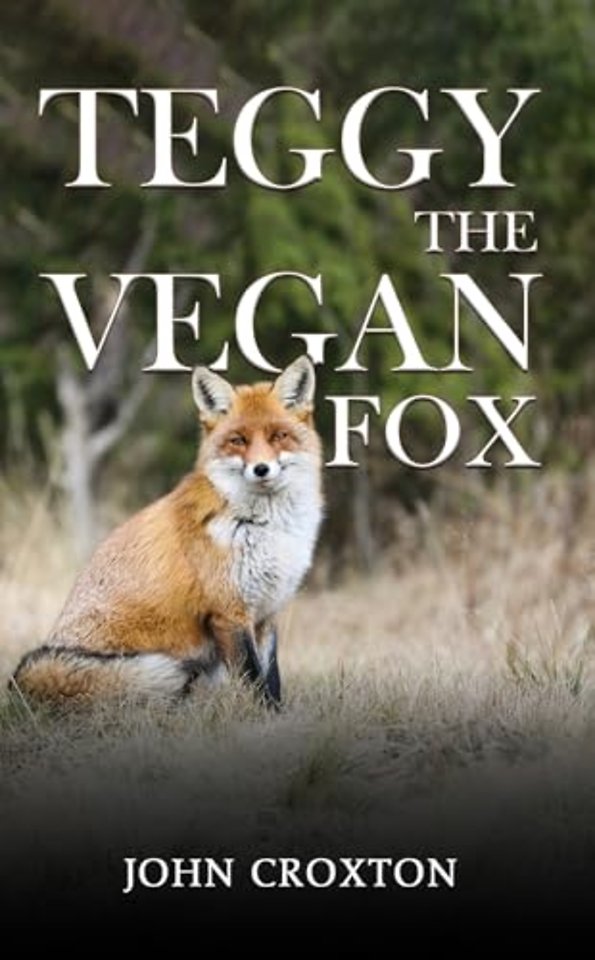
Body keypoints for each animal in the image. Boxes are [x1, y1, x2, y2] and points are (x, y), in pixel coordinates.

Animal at [10, 356, 323, 709]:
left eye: (278, 436)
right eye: (238, 440)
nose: (261, 469)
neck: (264, 527)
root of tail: (25, 686)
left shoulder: (266, 614)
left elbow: (272, 679)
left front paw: (280, 715)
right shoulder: (230, 613)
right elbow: (255, 682)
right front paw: (265, 717)